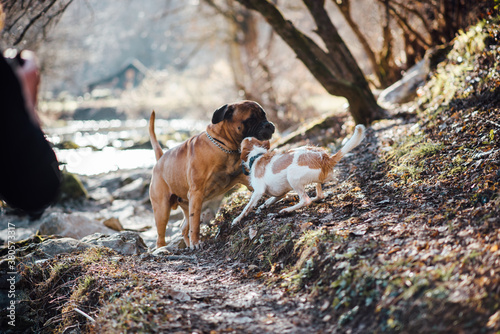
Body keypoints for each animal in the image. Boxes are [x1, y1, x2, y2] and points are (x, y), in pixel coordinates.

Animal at [148, 100, 276, 249]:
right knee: (163, 235)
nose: (268, 124)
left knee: (184, 227)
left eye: (264, 115)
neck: (225, 147)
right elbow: (195, 223)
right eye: (251, 120)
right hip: (162, 209)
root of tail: (160, 159)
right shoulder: (196, 193)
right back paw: (164, 248)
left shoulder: (246, 179)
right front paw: (196, 242)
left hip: (187, 205)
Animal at [232, 124, 366, 226]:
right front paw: (264, 205)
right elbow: (272, 199)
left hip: (292, 177)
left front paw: (237, 219)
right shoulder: (280, 192)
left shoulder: (258, 191)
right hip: (314, 181)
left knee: (305, 200)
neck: (256, 156)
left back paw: (286, 210)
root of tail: (326, 159)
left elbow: (246, 207)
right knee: (319, 196)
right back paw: (312, 199)